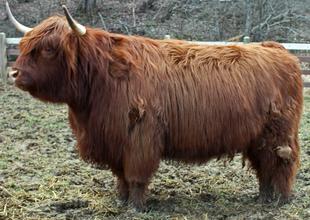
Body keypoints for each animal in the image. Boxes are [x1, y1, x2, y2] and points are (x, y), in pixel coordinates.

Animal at [6, 0, 302, 209]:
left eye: (48, 49)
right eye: (24, 45)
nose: (13, 73)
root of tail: (278, 50)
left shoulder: (140, 135)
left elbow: (136, 175)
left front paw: (136, 206)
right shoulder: (115, 139)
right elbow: (121, 176)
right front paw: (122, 200)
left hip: (279, 133)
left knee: (282, 162)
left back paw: (280, 200)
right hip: (256, 137)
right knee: (264, 167)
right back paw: (263, 197)